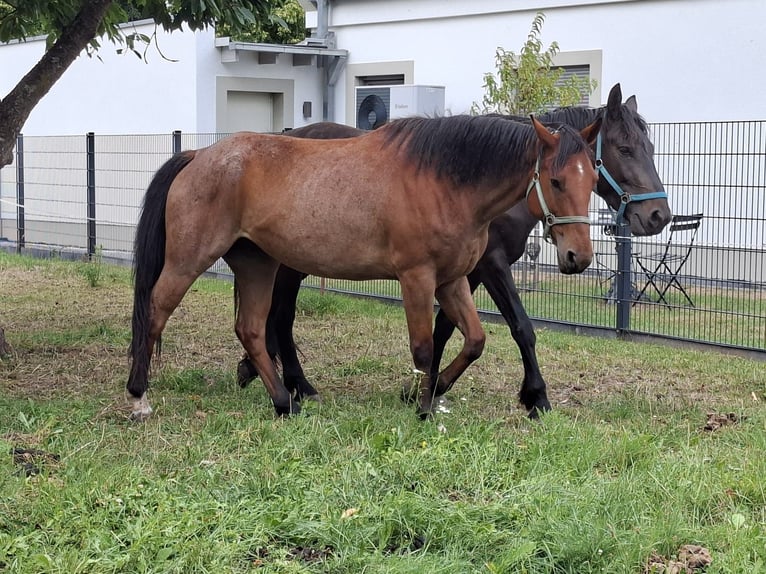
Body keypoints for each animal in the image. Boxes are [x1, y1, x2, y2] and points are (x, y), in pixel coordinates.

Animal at [128, 114, 601, 420]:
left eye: (594, 179)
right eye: (556, 180)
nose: (579, 258)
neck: (444, 182)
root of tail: (198, 155)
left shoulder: (452, 281)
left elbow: (474, 341)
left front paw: (434, 391)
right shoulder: (417, 278)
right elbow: (423, 348)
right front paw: (422, 409)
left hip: (257, 265)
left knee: (251, 330)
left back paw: (285, 402)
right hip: (189, 261)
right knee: (156, 311)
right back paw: (138, 397)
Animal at [235, 83, 671, 417]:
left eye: (650, 146)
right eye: (625, 148)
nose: (658, 216)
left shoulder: (464, 270)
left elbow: (447, 327)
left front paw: (425, 387)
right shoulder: (491, 265)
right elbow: (521, 327)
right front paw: (536, 396)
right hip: (290, 264)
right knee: (282, 317)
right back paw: (296, 384)